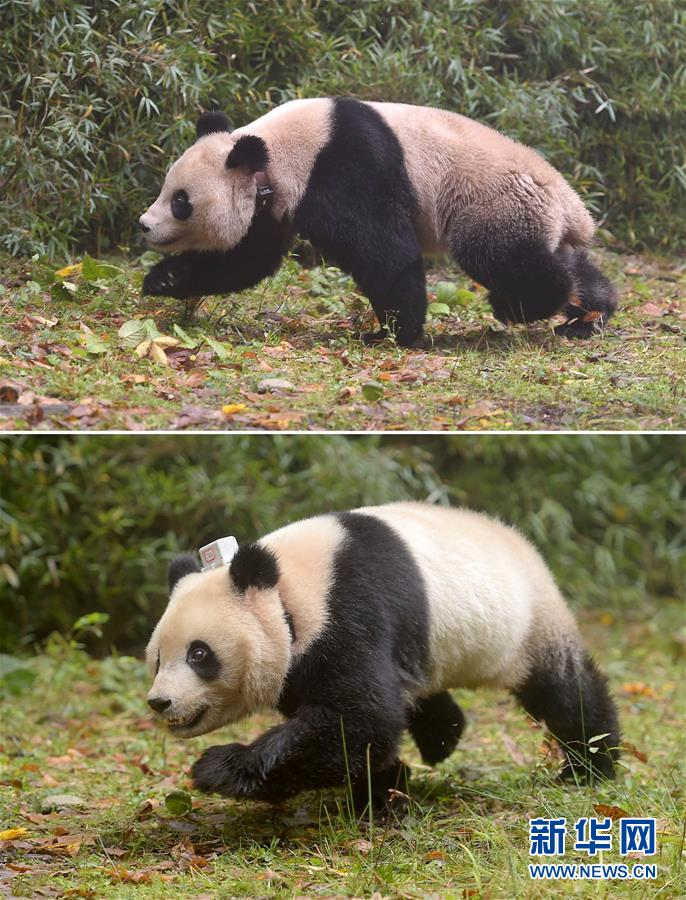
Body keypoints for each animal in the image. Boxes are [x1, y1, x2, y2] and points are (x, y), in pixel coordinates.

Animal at [140, 98, 620, 348]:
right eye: (167, 189)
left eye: (181, 201)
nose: (144, 225)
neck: (275, 151)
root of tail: (571, 206)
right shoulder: (273, 203)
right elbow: (248, 259)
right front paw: (164, 279)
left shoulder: (343, 168)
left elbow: (385, 252)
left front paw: (394, 333)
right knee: (560, 258)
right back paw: (590, 312)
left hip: (492, 203)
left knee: (501, 258)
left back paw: (521, 306)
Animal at [148, 502, 620, 812]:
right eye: (156, 659)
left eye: (199, 653)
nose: (160, 702)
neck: (289, 591)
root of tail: (520, 540)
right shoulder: (301, 660)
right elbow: (359, 723)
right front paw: (385, 788)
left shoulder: (351, 610)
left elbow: (360, 719)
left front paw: (219, 767)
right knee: (415, 689)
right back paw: (441, 739)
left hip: (527, 621)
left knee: (563, 688)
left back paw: (590, 766)